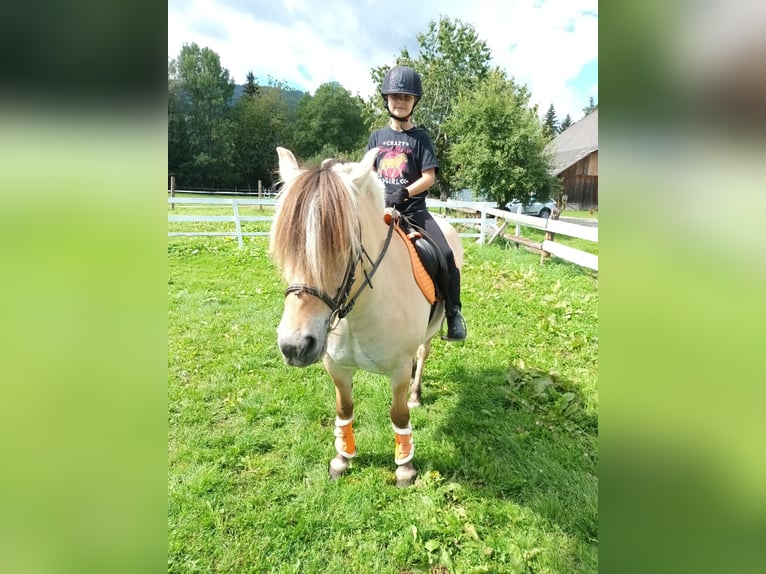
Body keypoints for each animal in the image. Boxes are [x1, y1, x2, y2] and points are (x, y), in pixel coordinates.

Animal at [269, 147, 463, 486]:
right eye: (286, 248)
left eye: (343, 247)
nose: (295, 346)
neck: (358, 313)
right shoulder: (336, 366)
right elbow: (344, 409)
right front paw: (342, 459)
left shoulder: (398, 370)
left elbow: (399, 414)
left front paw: (405, 467)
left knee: (423, 353)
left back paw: (416, 393)